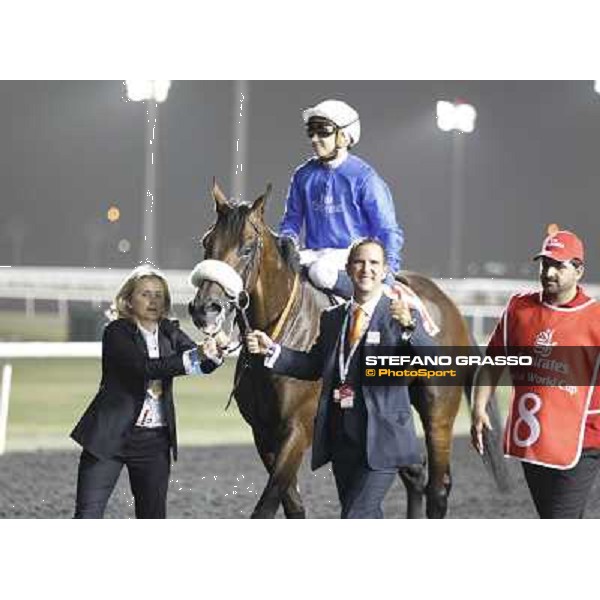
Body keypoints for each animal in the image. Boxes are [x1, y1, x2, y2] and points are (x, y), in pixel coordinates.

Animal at [188, 182, 506, 516]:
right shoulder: (263, 432)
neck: (286, 327)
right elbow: (291, 504)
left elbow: (266, 505)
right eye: (207, 242)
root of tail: (448, 303)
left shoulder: (298, 429)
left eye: (247, 248)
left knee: (438, 487)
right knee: (415, 473)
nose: (204, 309)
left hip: (438, 408)